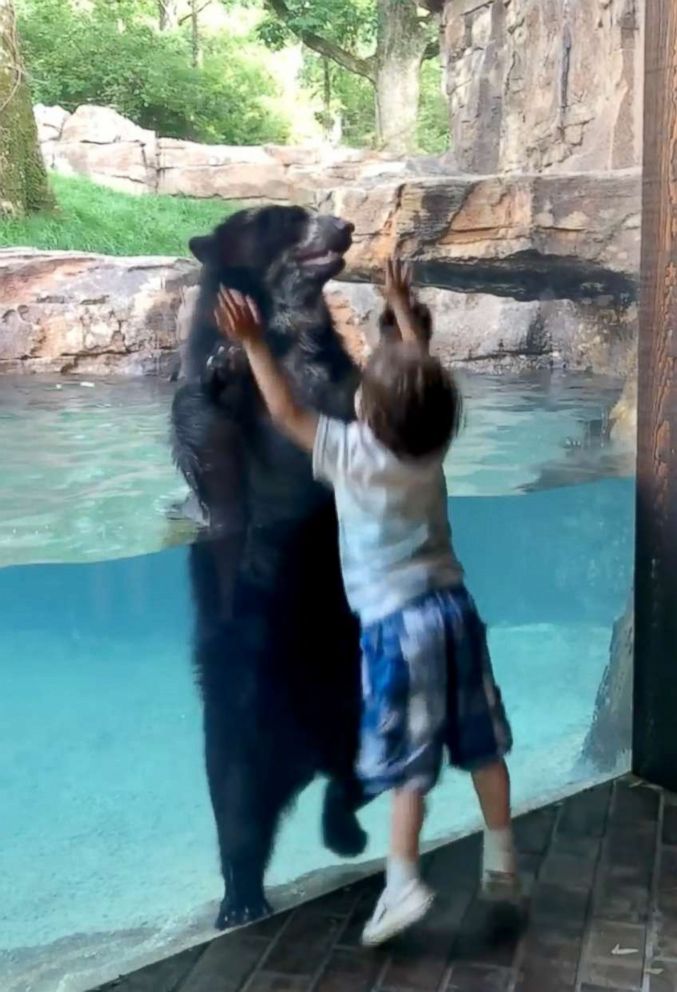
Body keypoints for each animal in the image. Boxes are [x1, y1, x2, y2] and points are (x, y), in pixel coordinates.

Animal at [169, 203, 372, 928]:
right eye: (280, 218)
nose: (343, 225)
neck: (286, 345)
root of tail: (304, 757)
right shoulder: (228, 437)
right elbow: (210, 448)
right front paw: (225, 365)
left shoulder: (334, 380)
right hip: (237, 718)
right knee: (237, 811)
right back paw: (241, 899)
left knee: (356, 778)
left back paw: (345, 827)